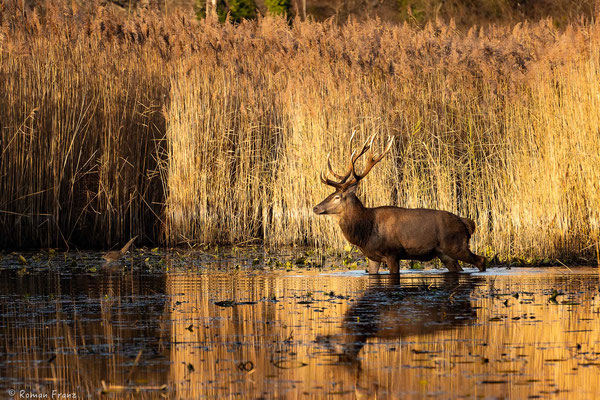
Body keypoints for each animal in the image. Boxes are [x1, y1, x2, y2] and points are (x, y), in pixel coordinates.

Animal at [314, 133, 488, 274]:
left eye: (337, 197)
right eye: (330, 194)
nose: (315, 207)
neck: (366, 231)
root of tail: (466, 223)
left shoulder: (392, 253)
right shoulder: (372, 257)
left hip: (457, 245)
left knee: (481, 260)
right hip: (445, 254)